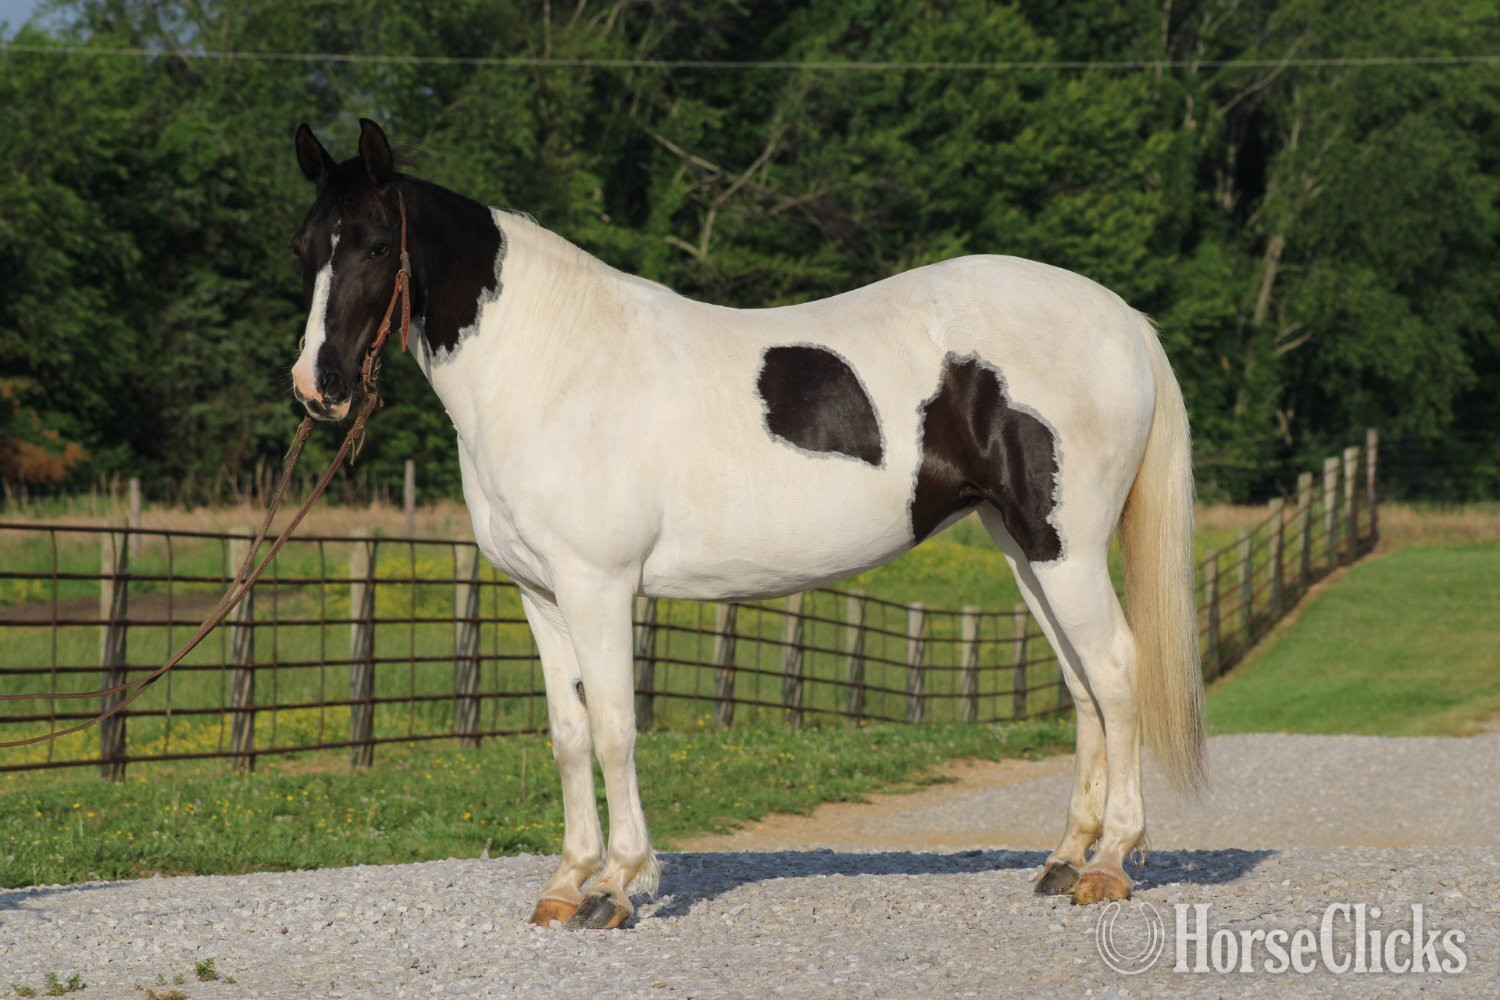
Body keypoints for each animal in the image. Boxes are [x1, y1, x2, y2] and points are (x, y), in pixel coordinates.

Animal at [289, 118, 1206, 929]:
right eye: (304, 248)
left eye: (376, 245)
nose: (318, 386)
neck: (552, 365)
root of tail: (1122, 319)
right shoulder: (539, 596)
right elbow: (569, 735)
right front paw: (564, 884)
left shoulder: (597, 586)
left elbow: (616, 728)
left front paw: (614, 887)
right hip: (1024, 550)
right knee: (1084, 687)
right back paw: (1066, 860)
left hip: (1065, 551)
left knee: (1116, 672)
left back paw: (1112, 864)